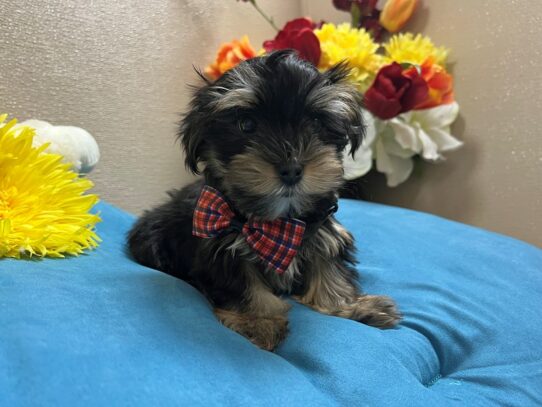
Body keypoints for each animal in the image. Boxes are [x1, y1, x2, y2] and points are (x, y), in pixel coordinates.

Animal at [126, 50, 400, 350]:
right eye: (246, 125)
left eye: (317, 122)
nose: (291, 169)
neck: (278, 223)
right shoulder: (223, 246)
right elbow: (243, 284)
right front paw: (259, 322)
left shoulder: (322, 230)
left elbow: (328, 266)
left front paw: (349, 306)